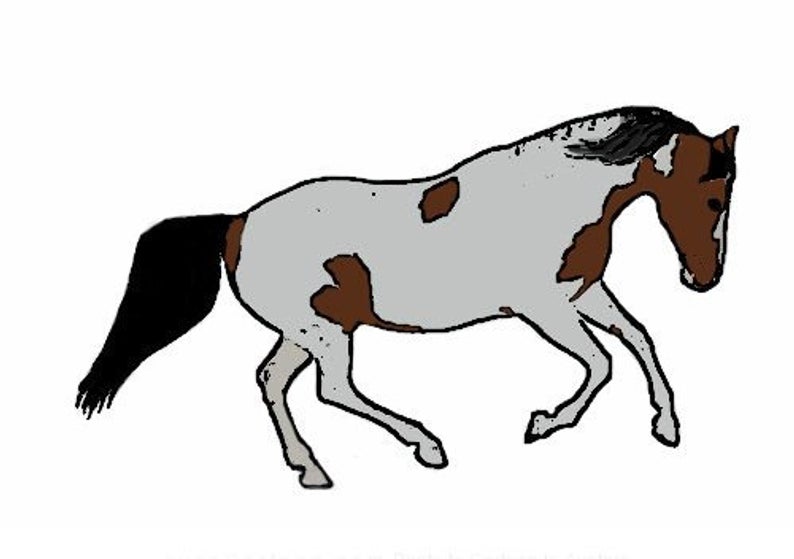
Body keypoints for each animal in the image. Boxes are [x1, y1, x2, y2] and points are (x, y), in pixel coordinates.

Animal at [77, 107, 739, 488]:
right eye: (713, 196)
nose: (703, 280)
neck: (551, 196)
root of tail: (235, 223)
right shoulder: (544, 310)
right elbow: (602, 363)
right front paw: (544, 424)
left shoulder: (583, 293)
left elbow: (639, 339)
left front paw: (667, 427)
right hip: (325, 332)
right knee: (331, 389)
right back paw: (428, 447)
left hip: (305, 330)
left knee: (272, 380)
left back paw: (311, 470)